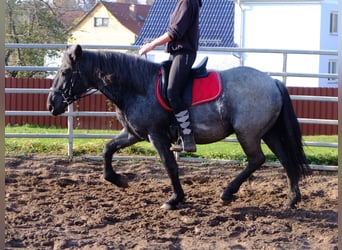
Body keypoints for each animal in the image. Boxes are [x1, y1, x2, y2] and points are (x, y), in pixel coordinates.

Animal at [47, 44, 310, 209]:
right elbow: (107, 149)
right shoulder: (133, 134)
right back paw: (292, 199)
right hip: (268, 133)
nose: (51, 104)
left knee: (257, 160)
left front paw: (175, 199)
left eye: (65, 71)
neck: (137, 86)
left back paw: (228, 192)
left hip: (248, 133)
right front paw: (117, 179)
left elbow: (170, 166)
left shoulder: (156, 136)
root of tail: (273, 82)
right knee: (285, 160)